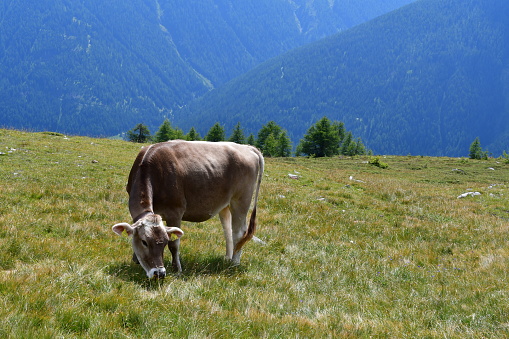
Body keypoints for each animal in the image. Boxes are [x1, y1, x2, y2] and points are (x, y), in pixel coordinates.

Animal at [111, 141, 262, 278]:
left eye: (164, 242)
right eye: (144, 242)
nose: (159, 273)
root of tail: (247, 147)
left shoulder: (175, 211)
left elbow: (174, 244)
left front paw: (177, 268)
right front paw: (135, 260)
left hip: (241, 201)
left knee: (239, 232)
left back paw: (234, 263)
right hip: (225, 205)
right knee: (228, 232)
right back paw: (228, 258)